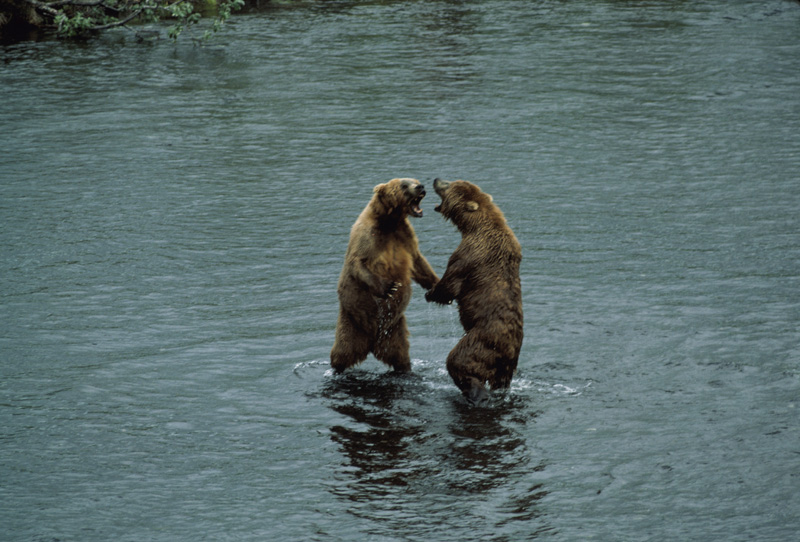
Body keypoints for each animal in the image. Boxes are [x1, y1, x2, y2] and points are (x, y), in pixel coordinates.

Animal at [328, 178, 438, 374]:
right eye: (404, 185)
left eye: (415, 181)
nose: (421, 187)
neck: (389, 222)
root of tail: (372, 342)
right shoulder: (368, 236)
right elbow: (358, 263)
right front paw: (389, 287)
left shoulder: (404, 235)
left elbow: (418, 262)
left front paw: (437, 285)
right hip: (351, 322)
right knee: (342, 352)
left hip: (394, 330)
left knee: (401, 354)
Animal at [424, 181, 524, 406]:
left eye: (448, 185)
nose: (436, 179)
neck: (474, 226)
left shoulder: (470, 253)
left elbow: (451, 283)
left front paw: (431, 291)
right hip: (507, 363)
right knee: (501, 380)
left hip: (481, 342)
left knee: (458, 361)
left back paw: (475, 394)